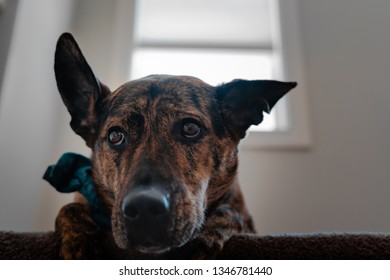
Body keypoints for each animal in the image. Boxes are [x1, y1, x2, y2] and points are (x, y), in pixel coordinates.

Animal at [53, 32, 298, 258]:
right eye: (115, 136)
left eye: (190, 128)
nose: (143, 209)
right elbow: (70, 208)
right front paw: (79, 242)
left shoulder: (247, 221)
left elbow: (232, 213)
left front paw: (207, 235)